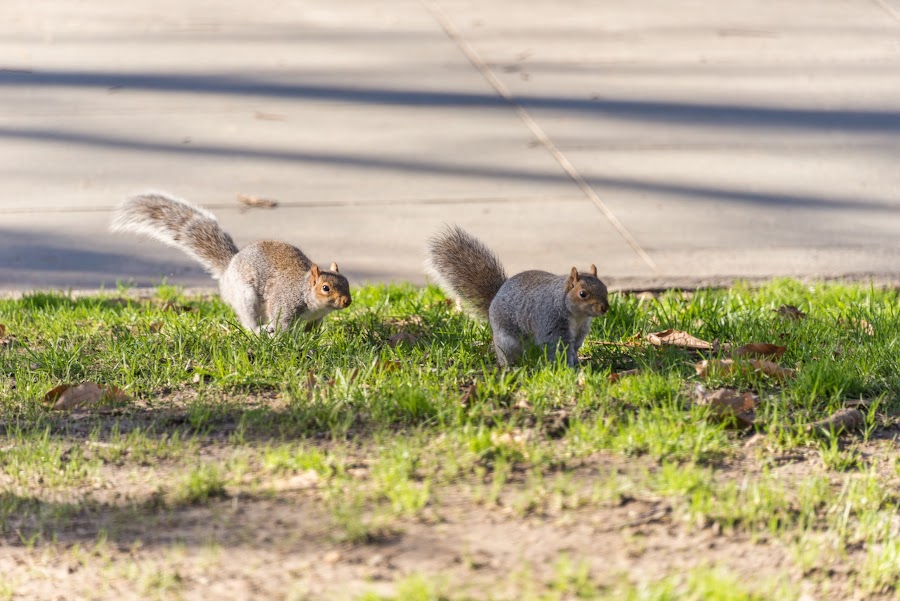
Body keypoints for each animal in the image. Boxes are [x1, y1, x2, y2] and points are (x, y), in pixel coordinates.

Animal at [110, 192, 352, 332]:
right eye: (325, 288)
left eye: (347, 283)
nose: (347, 302)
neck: (307, 296)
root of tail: (229, 267)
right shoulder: (284, 307)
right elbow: (281, 327)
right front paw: (282, 340)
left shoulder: (316, 319)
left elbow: (312, 331)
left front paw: (310, 340)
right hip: (245, 296)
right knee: (248, 319)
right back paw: (259, 332)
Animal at [426, 225, 608, 366]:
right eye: (582, 294)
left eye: (605, 288)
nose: (605, 308)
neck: (576, 316)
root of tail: (494, 300)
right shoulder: (551, 322)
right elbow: (557, 347)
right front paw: (567, 368)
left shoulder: (581, 329)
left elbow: (574, 347)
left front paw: (576, 361)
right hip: (507, 342)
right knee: (507, 356)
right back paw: (511, 367)